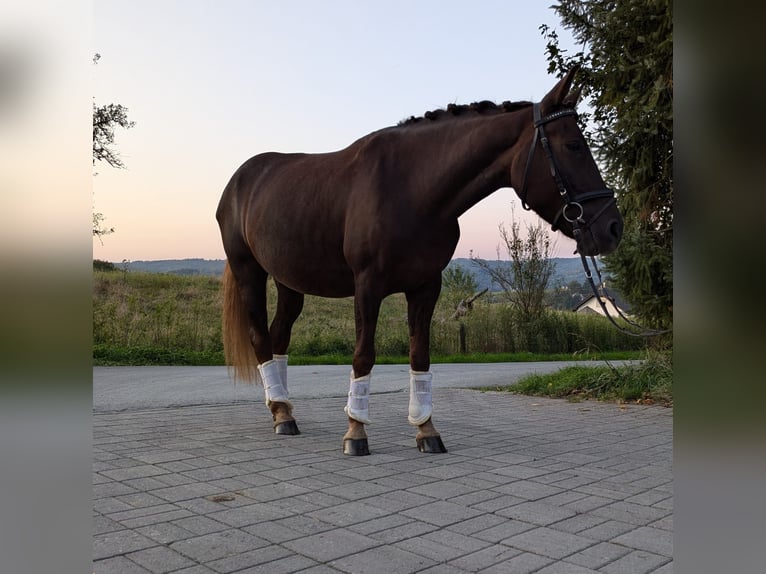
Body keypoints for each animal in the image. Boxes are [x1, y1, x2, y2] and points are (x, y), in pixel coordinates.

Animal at [216, 66, 624, 454]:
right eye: (573, 144)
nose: (613, 227)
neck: (414, 189)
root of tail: (239, 180)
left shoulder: (426, 286)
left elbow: (420, 356)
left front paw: (426, 430)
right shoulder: (368, 285)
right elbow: (363, 355)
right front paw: (356, 432)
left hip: (289, 281)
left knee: (279, 335)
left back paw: (283, 408)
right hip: (249, 271)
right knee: (260, 336)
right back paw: (282, 415)